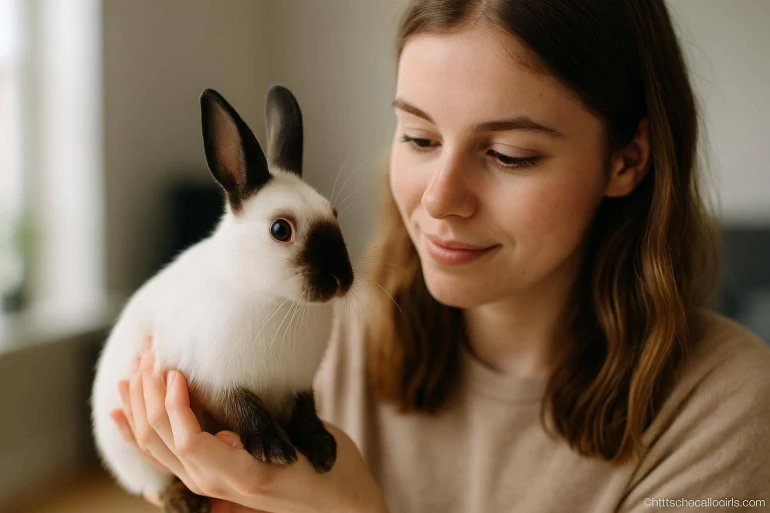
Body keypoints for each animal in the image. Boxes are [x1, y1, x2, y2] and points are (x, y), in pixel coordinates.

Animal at [90, 85, 355, 513]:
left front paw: (323, 451)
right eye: (280, 230)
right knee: (161, 482)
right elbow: (244, 411)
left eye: (334, 214)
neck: (277, 300)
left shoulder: (299, 384)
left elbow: (307, 413)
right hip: (138, 463)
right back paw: (185, 502)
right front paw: (274, 450)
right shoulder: (214, 380)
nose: (340, 280)